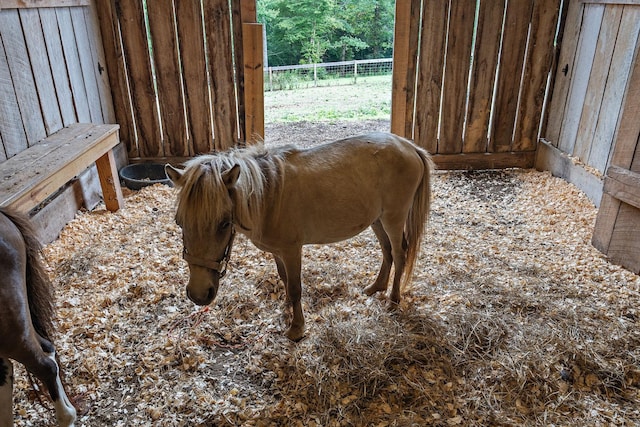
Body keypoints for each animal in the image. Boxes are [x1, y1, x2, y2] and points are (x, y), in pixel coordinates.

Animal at [168, 133, 432, 342]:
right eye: (179, 222)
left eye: (224, 223)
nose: (199, 294)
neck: (268, 197)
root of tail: (410, 147)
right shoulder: (278, 252)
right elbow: (284, 279)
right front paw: (286, 308)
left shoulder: (292, 250)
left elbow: (296, 287)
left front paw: (297, 328)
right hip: (377, 220)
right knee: (387, 252)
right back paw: (376, 287)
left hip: (393, 218)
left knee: (399, 253)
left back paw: (394, 299)